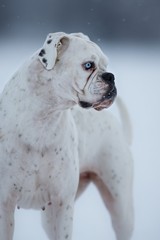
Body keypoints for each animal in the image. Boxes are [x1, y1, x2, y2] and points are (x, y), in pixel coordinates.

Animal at [0, 32, 134, 240]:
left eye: (106, 65)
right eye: (88, 65)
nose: (110, 76)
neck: (42, 120)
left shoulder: (62, 205)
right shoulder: (5, 205)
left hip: (120, 207)